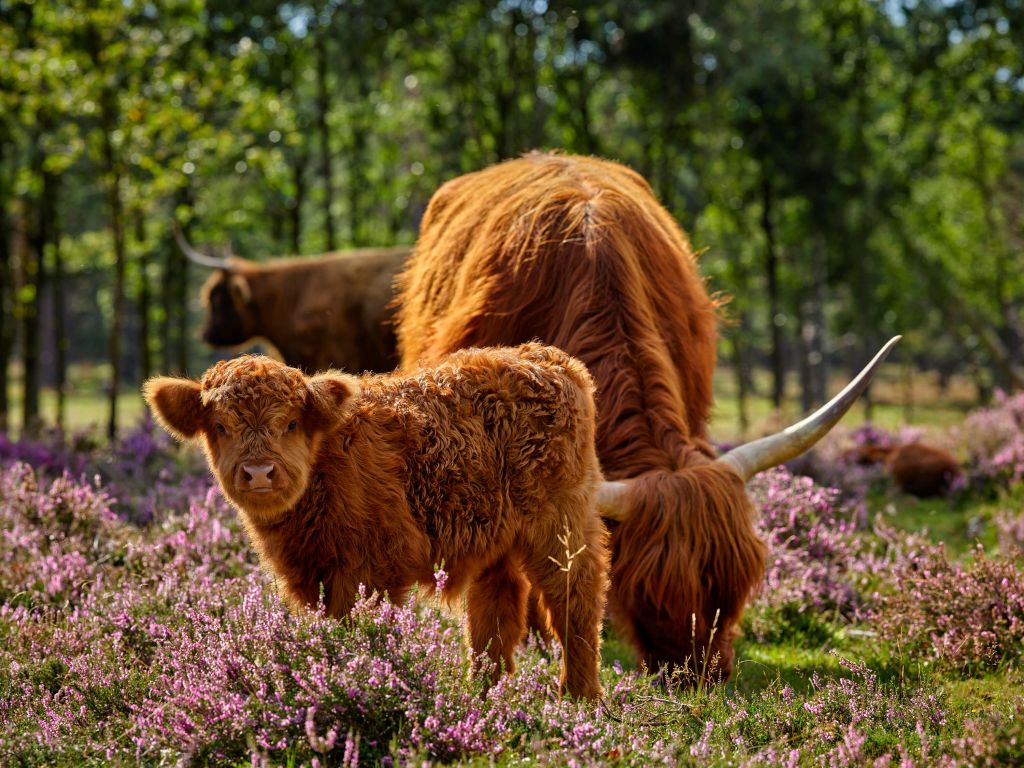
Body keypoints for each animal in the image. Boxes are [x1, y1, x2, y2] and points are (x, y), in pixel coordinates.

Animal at [143, 346, 606, 700]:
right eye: (221, 426)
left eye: (289, 423)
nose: (258, 473)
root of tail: (545, 358)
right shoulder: (313, 572)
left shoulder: (372, 568)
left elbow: (357, 628)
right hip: (497, 538)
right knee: (494, 614)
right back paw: (482, 696)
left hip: (561, 524)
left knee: (576, 602)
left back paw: (577, 699)